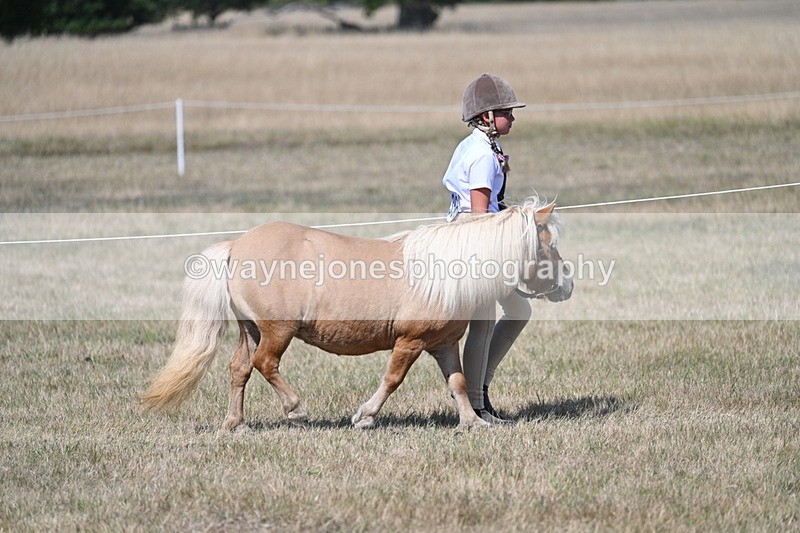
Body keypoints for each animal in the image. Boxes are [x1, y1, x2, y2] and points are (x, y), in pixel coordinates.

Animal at [140, 197, 573, 430]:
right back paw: (295, 410)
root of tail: (236, 246)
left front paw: (473, 422)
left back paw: (235, 423)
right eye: (549, 244)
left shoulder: (443, 343)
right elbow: (392, 379)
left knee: (240, 369)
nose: (567, 285)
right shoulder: (410, 341)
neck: (445, 271)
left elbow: (458, 382)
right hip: (277, 330)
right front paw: (365, 416)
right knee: (266, 364)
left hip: (251, 330)